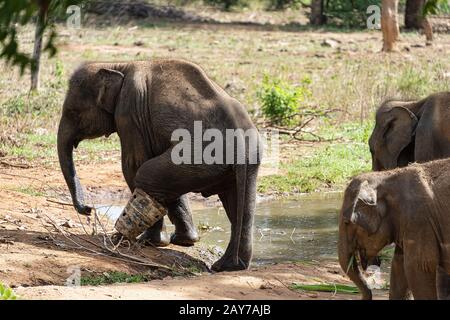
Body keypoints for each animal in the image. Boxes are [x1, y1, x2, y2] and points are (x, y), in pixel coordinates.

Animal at [56, 58, 262, 272]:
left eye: (73, 112)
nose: (89, 209)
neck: (118, 65)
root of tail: (240, 138)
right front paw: (184, 241)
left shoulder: (129, 112)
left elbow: (133, 165)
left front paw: (154, 242)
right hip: (246, 159)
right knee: (240, 205)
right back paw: (228, 266)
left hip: (201, 154)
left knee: (147, 176)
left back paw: (126, 238)